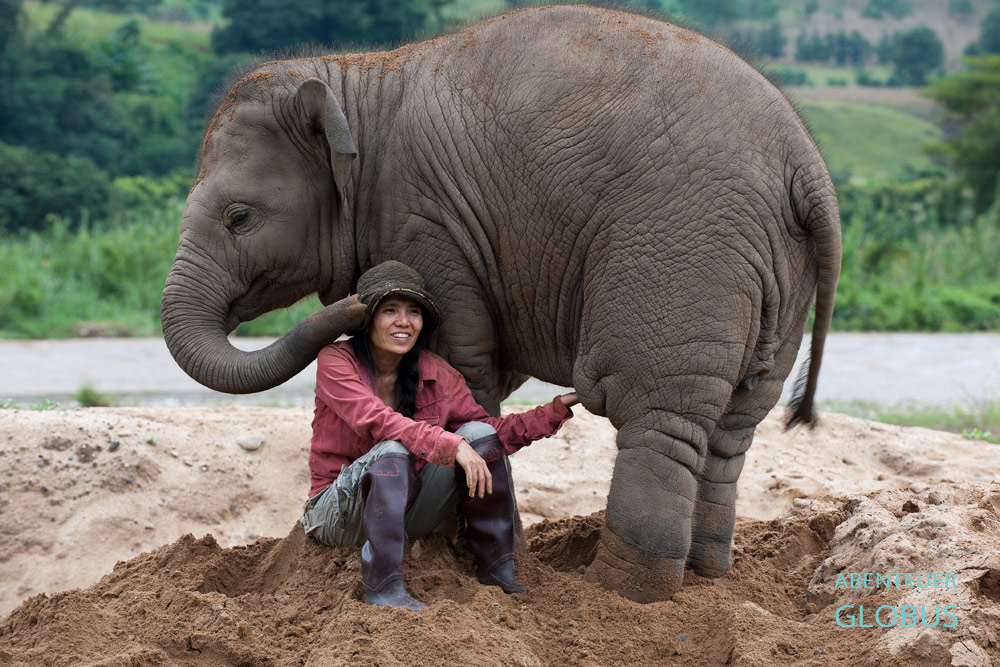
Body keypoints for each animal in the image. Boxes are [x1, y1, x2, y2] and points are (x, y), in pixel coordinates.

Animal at [161, 5, 840, 602]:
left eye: (239, 217)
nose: (357, 303)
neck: (354, 80)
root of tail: (808, 167)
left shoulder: (426, 226)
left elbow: (463, 364)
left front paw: (464, 558)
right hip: (778, 274)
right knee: (733, 427)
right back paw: (704, 581)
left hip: (684, 248)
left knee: (654, 411)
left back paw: (620, 597)